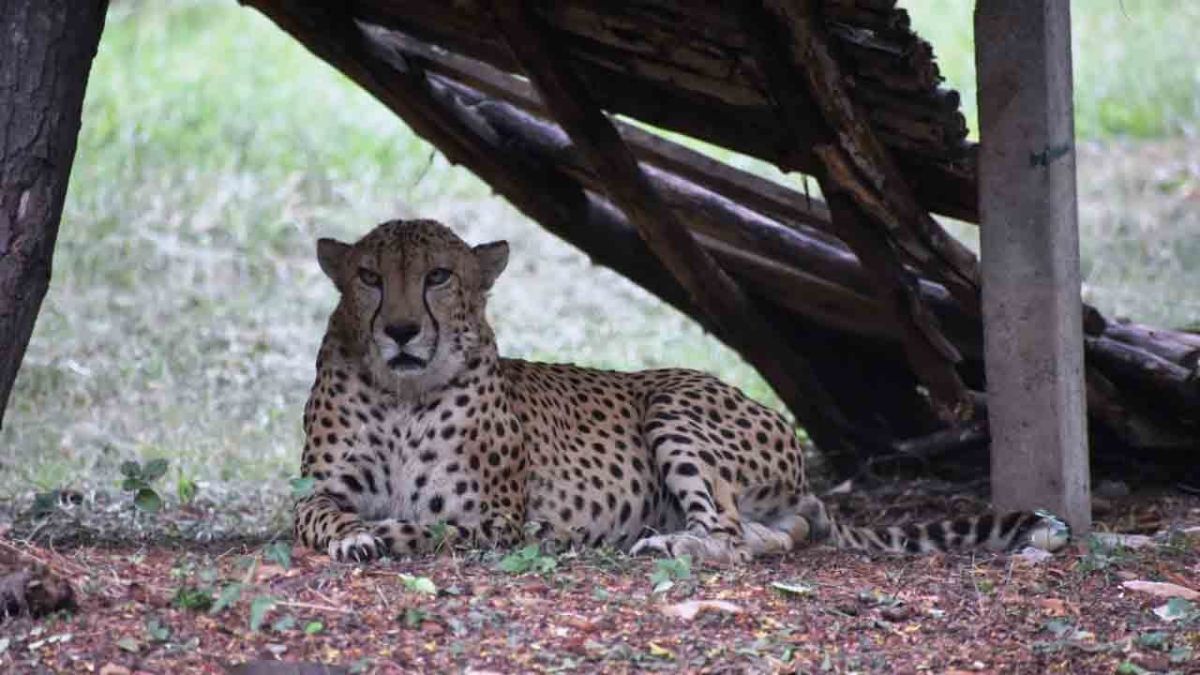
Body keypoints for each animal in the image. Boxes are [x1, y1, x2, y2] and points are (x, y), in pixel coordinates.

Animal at [294, 218, 1070, 563]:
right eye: (368, 277)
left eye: (438, 276)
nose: (400, 330)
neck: (403, 394)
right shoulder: (316, 492)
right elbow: (322, 518)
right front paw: (355, 535)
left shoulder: (495, 518)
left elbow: (429, 525)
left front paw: (381, 534)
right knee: (767, 537)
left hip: (672, 407)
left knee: (725, 533)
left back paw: (669, 543)